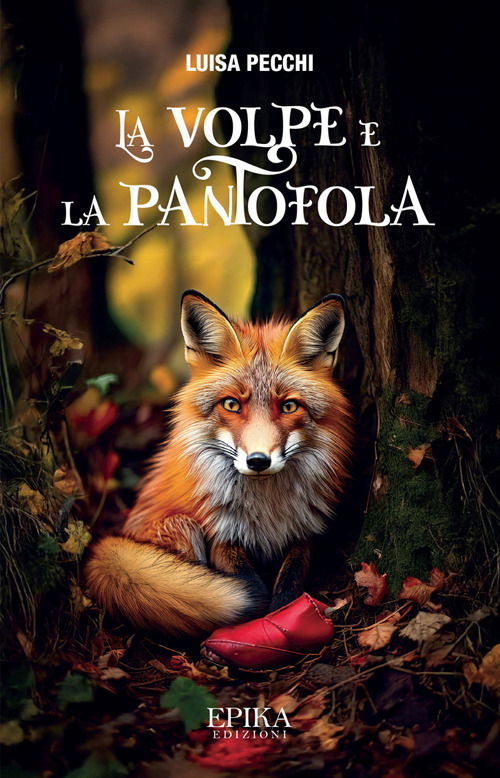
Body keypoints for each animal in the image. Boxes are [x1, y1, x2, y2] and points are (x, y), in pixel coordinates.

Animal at [84, 290, 353, 640]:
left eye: (289, 406)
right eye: (232, 404)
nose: (258, 461)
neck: (268, 509)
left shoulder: (303, 532)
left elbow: (291, 581)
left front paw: (285, 615)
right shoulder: (220, 534)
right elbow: (246, 582)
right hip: (182, 526)